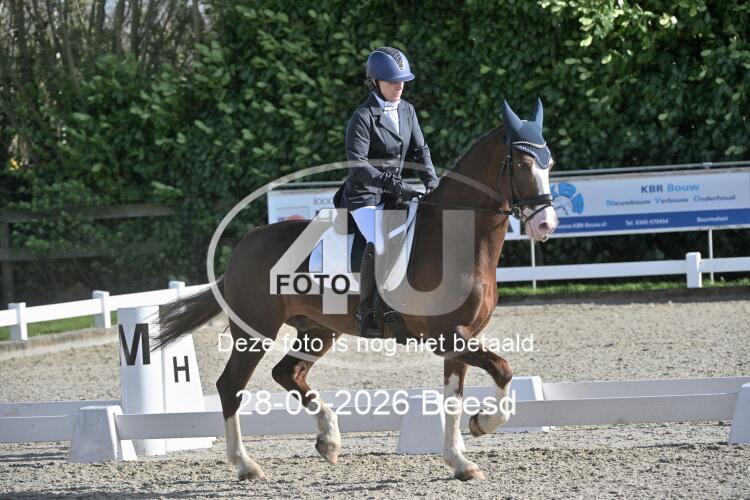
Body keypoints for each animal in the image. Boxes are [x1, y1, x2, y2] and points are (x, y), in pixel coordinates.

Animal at [155, 99, 558, 481]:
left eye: (549, 163)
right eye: (522, 163)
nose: (546, 225)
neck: (455, 239)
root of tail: (245, 246)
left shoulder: (460, 338)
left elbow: (453, 400)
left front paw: (460, 462)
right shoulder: (447, 336)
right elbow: (503, 369)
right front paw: (482, 424)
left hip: (318, 330)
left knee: (287, 373)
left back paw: (329, 440)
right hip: (254, 332)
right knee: (231, 386)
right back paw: (246, 465)